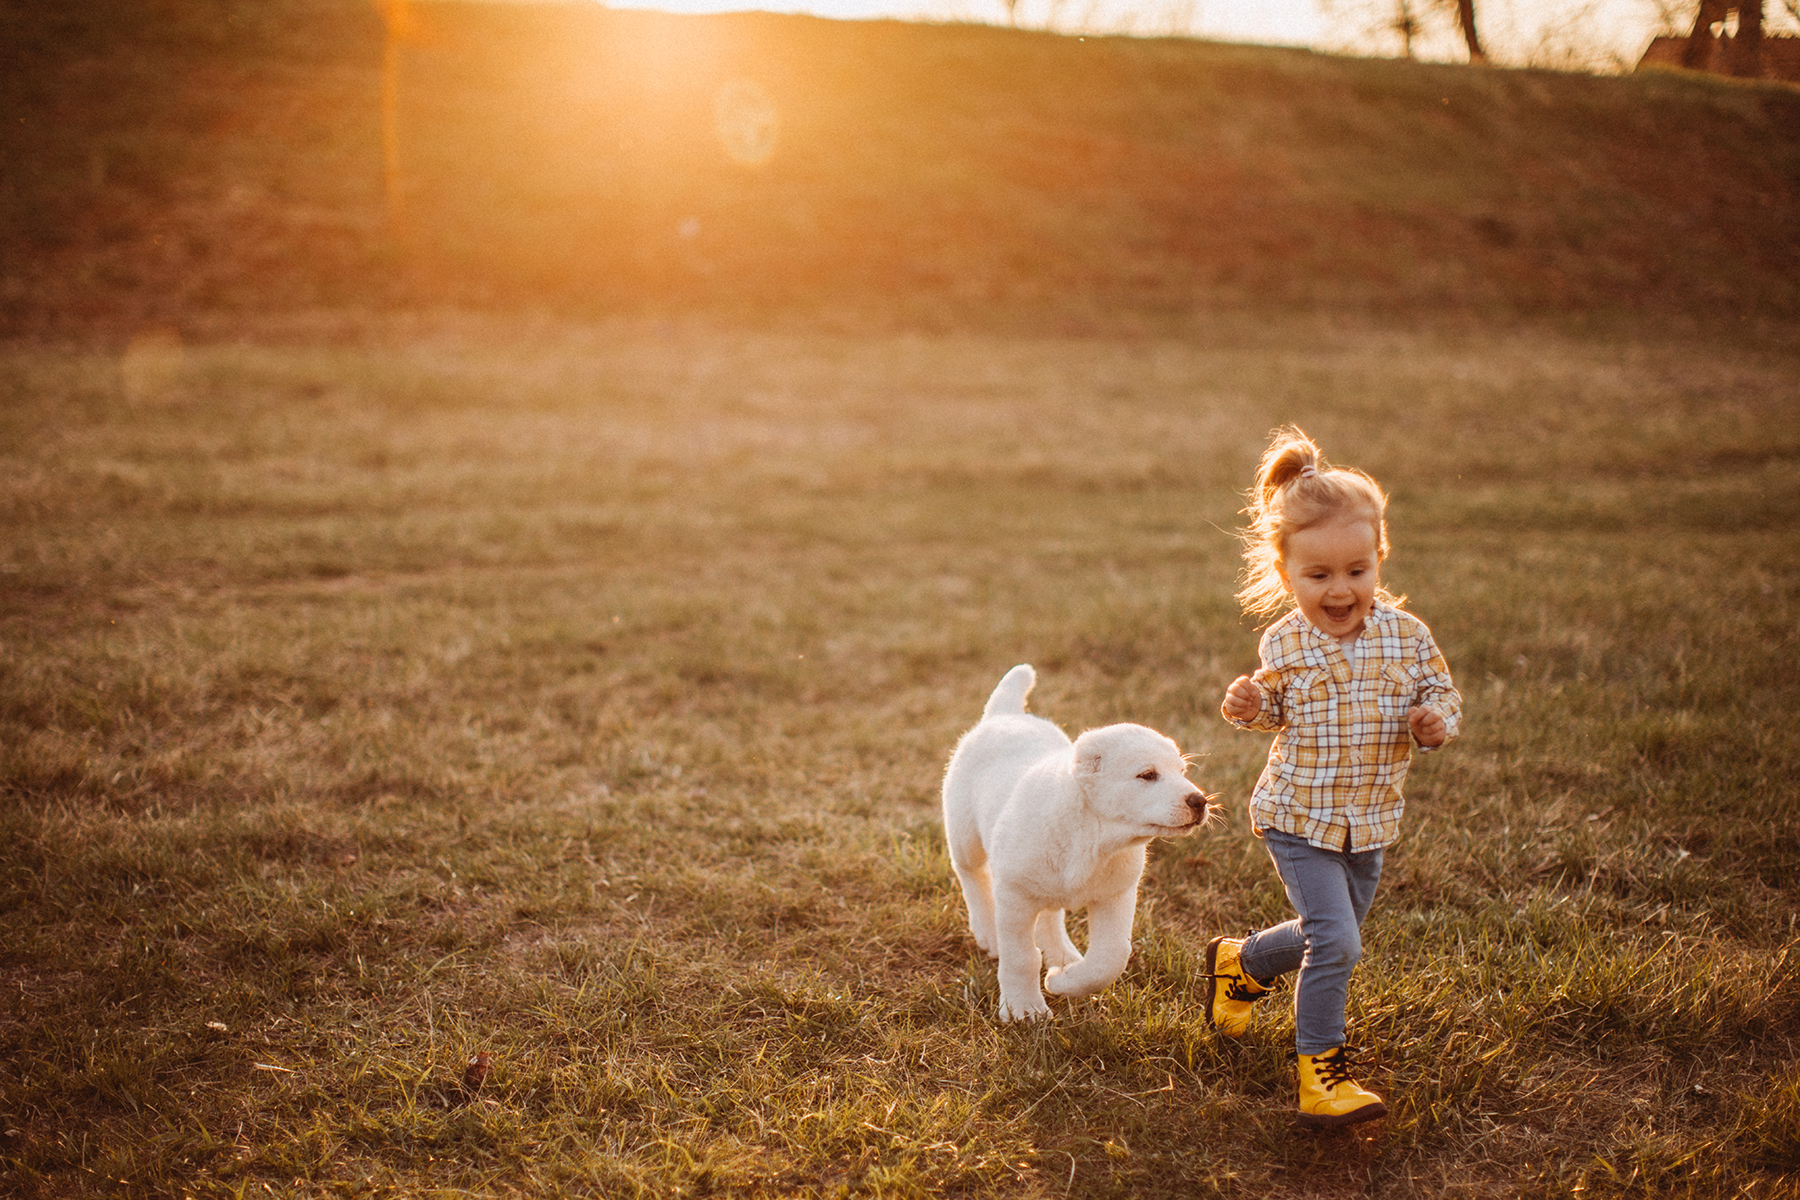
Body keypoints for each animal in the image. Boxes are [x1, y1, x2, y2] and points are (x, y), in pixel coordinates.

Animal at [943, 665, 1209, 1021]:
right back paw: (988, 932)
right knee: (970, 875)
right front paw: (1023, 1008)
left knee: (1050, 916)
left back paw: (1063, 957)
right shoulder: (1014, 896)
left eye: (1182, 771)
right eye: (1147, 775)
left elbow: (1110, 958)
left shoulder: (1116, 895)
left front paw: (1064, 981)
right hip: (965, 837)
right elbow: (1021, 957)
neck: (1094, 837)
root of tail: (1005, 715)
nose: (1200, 801)